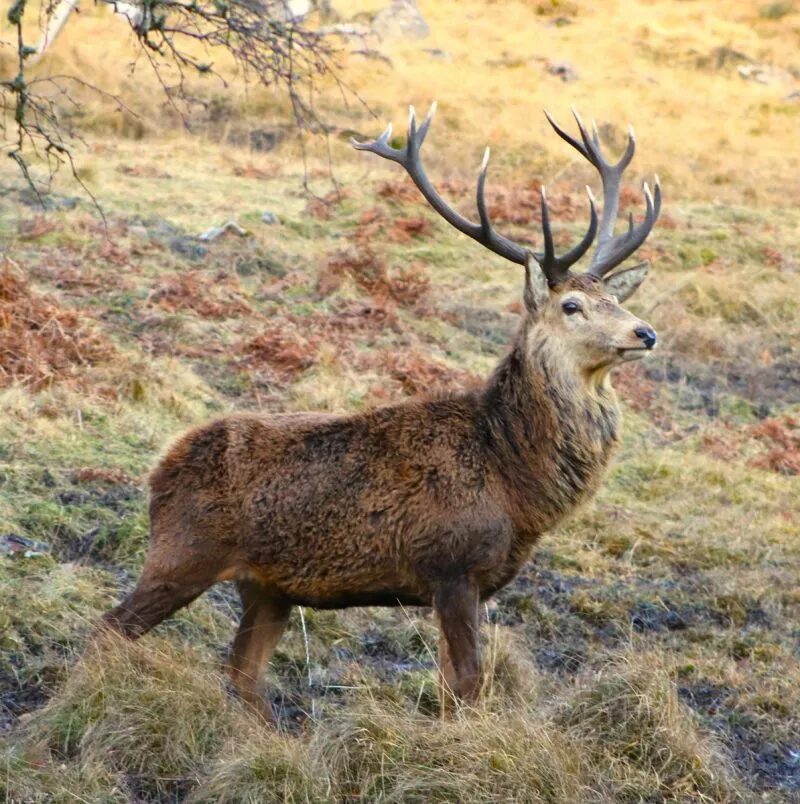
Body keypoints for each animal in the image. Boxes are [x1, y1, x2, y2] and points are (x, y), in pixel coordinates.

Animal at [102, 104, 661, 720]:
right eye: (572, 305)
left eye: (617, 299)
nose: (645, 332)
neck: (513, 481)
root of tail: (160, 469)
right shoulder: (452, 565)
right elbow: (470, 683)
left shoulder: (467, 582)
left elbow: (450, 686)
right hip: (183, 552)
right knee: (110, 627)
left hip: (267, 587)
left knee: (243, 673)